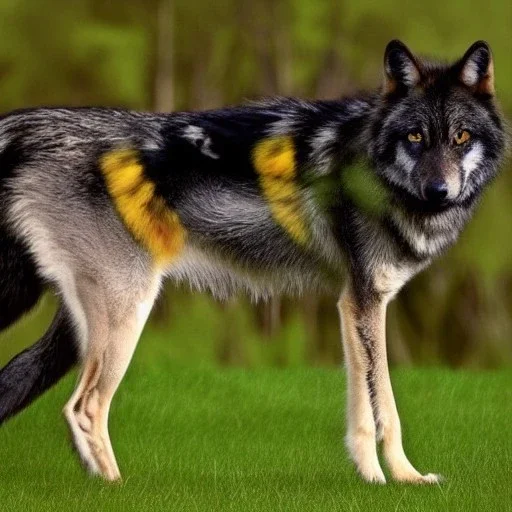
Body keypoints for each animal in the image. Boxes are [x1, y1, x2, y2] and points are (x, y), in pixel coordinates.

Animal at [0, 41, 506, 484]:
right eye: (416, 136)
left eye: (461, 137)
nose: (439, 192)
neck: (371, 162)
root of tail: (30, 126)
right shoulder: (364, 303)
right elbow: (385, 405)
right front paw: (396, 480)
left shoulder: (354, 304)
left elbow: (365, 407)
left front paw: (383, 479)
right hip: (125, 316)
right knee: (83, 408)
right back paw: (118, 488)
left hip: (73, 331)